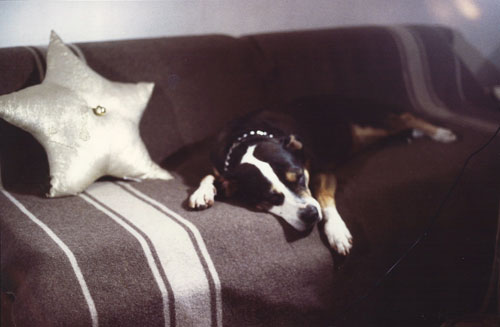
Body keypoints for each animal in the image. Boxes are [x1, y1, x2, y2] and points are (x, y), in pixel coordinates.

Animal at [188, 97, 458, 256]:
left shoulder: (321, 172)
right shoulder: (221, 167)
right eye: (270, 198)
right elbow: (208, 175)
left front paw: (337, 232)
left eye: (299, 177)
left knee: (405, 118)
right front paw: (201, 193)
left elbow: (325, 199)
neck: (249, 138)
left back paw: (442, 133)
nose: (310, 214)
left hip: (366, 122)